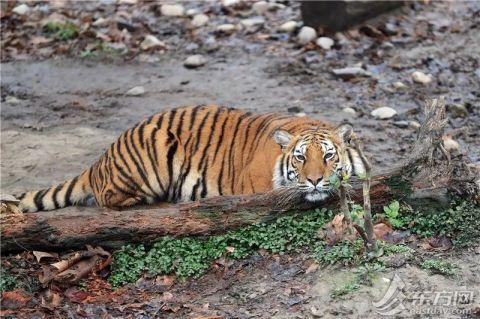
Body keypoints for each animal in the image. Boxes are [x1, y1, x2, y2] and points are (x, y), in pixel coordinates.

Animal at [16, 105, 366, 214]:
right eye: (300, 158)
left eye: (328, 156)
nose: (315, 180)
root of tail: (99, 160)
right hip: (154, 146)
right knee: (108, 197)